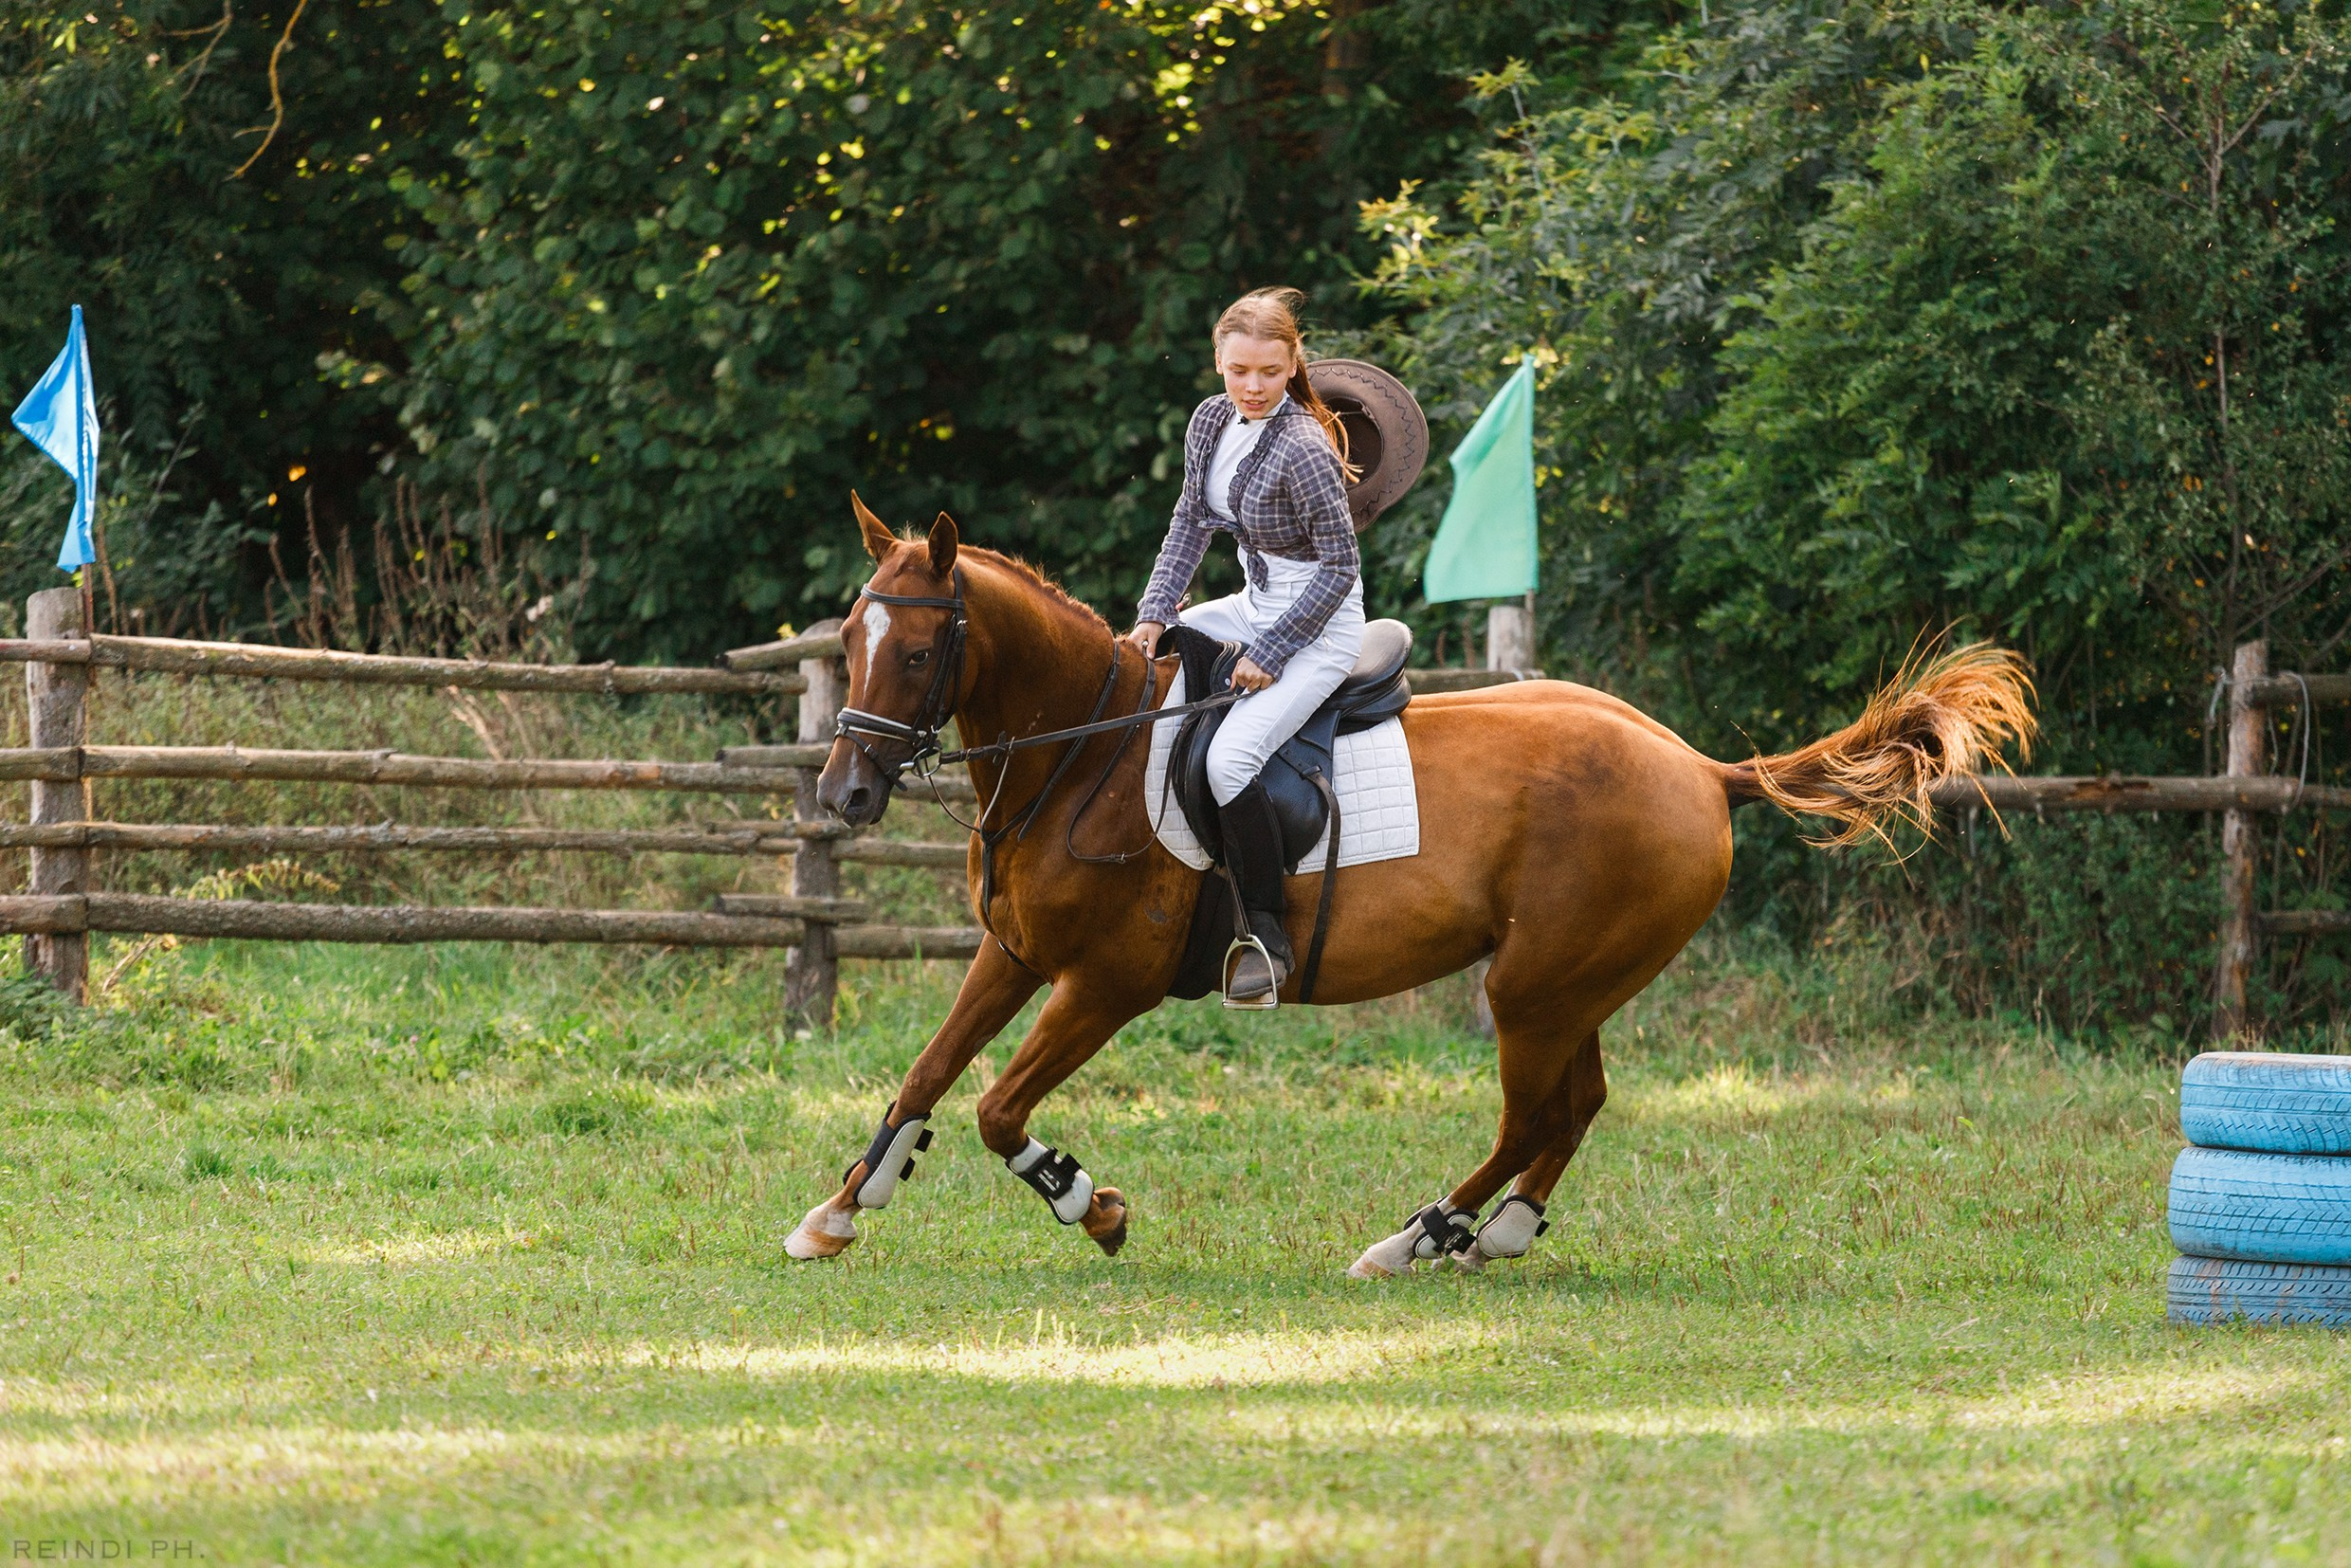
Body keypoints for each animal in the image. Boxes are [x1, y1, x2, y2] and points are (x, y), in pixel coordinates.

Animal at [785, 498, 2034, 1276]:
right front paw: (839, 1208)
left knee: (1533, 1111)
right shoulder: (1013, 954)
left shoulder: (1106, 984)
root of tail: (1696, 767)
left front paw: (1089, 1204)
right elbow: (928, 1073)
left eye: (915, 652)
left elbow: (998, 1108)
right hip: (1562, 983)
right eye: (847, 635)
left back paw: (1416, 1236)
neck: (1081, 754)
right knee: (1573, 1105)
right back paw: (1498, 1232)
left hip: (1531, 987)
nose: (843, 793)